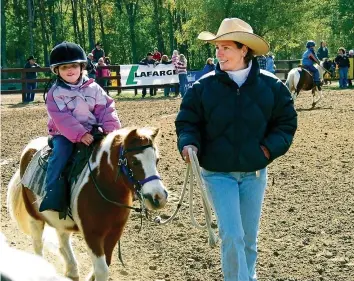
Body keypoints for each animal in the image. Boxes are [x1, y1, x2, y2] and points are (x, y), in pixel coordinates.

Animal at [6, 127, 169, 280]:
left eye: (157, 160)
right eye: (135, 162)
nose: (159, 197)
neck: (103, 186)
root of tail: (30, 147)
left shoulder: (114, 232)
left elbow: (106, 263)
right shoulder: (92, 235)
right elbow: (102, 270)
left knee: (63, 239)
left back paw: (72, 270)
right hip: (34, 217)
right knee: (38, 244)